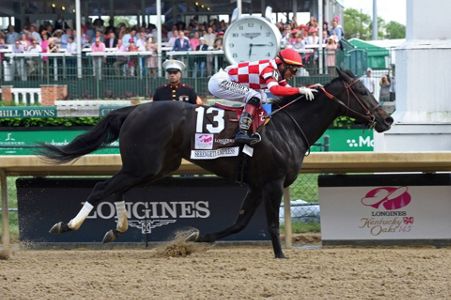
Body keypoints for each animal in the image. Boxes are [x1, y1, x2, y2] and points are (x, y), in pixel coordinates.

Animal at [38, 68, 392, 258]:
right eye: (363, 90)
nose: (387, 119)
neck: (287, 126)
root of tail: (134, 110)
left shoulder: (256, 185)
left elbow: (239, 223)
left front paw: (196, 238)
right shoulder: (273, 183)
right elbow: (270, 223)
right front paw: (280, 255)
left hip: (155, 167)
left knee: (116, 189)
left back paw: (118, 228)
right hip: (144, 165)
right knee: (101, 187)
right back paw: (68, 225)